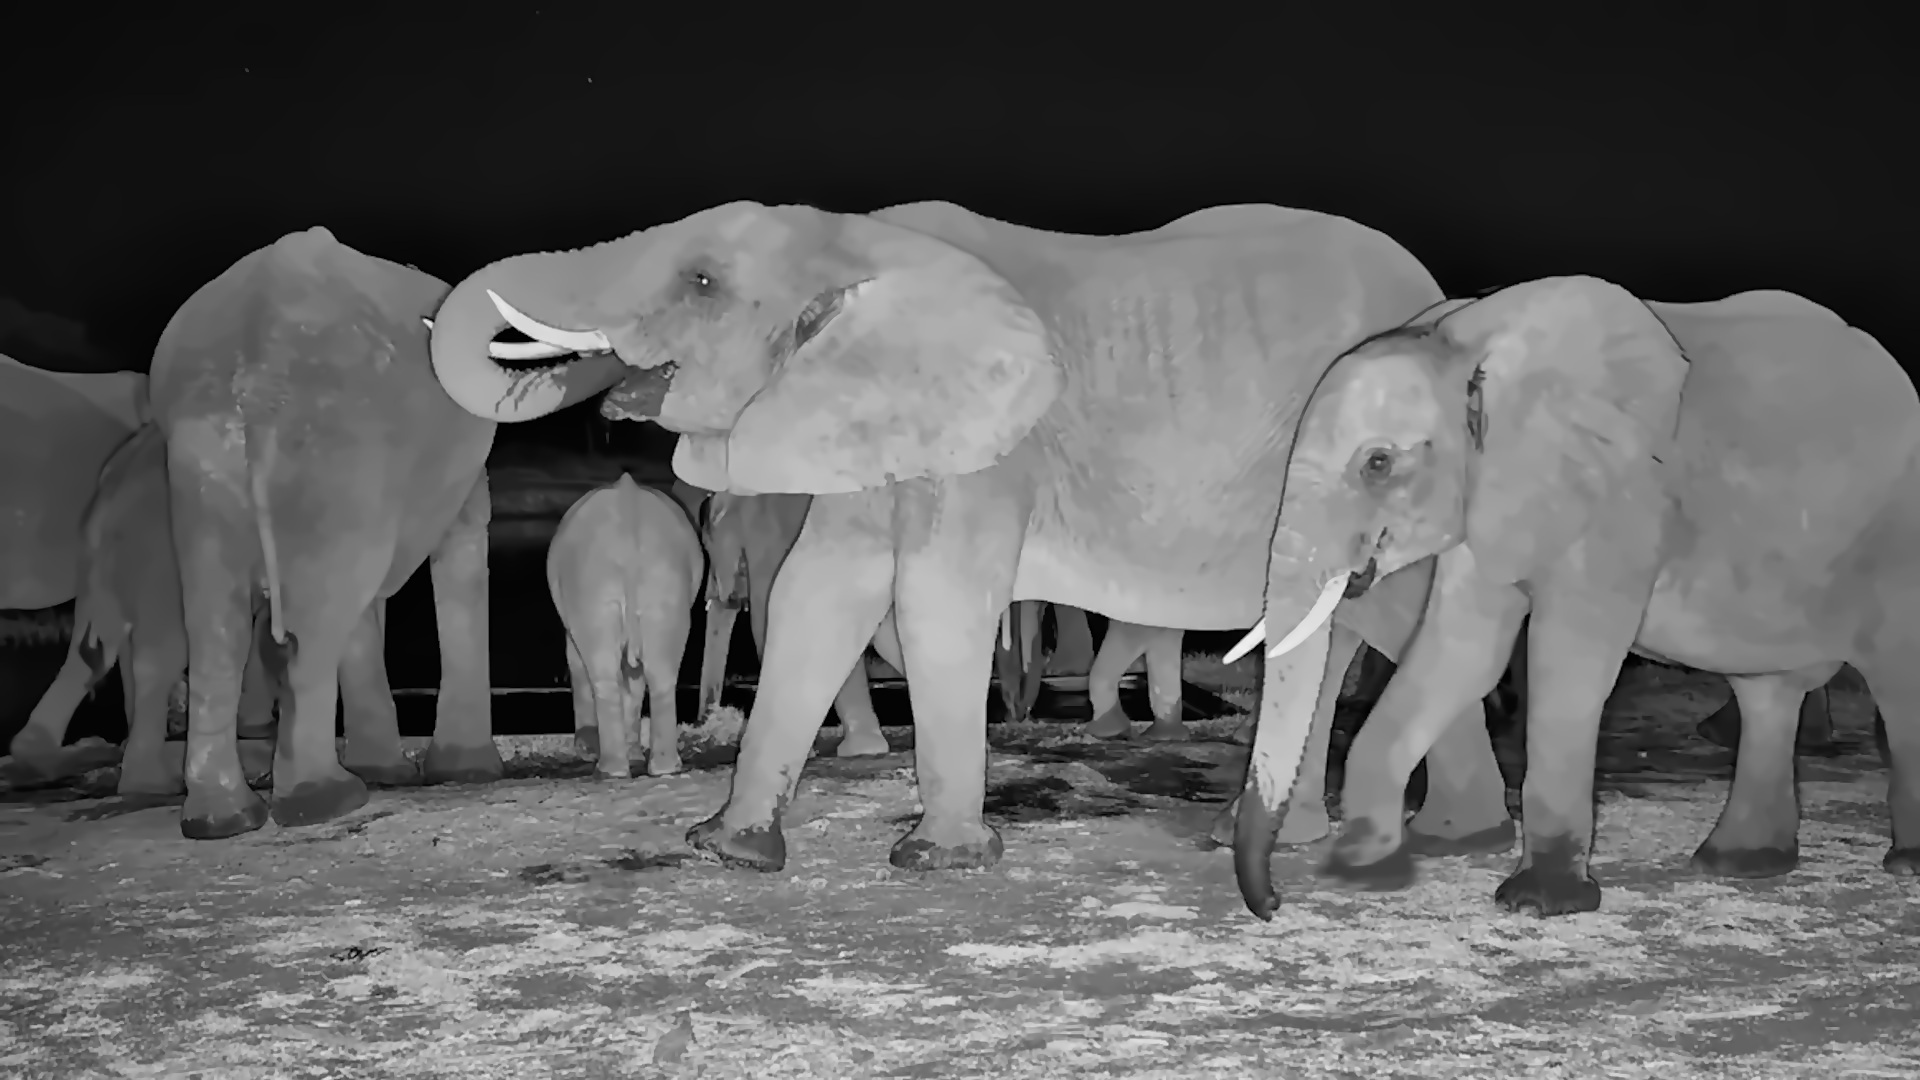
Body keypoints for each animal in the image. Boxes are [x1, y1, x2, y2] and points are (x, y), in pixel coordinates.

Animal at [152, 226, 503, 839]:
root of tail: (257, 357)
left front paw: (398, 773)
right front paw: (462, 773)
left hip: (207, 454)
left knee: (221, 626)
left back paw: (226, 820)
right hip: (331, 440)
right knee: (315, 618)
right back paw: (325, 803)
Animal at [548, 473, 704, 776]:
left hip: (591, 587)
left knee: (603, 672)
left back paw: (610, 770)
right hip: (661, 584)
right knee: (661, 670)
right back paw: (664, 768)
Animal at [1228, 279, 1920, 918]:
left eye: (1377, 463)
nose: (1273, 904)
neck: (1465, 346)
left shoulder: (1620, 495)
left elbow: (1571, 657)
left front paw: (1537, 903)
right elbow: (1461, 653)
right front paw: (1362, 872)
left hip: (1895, 547)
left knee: (1895, 680)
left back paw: (1905, 864)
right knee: (1768, 692)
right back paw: (1738, 863)